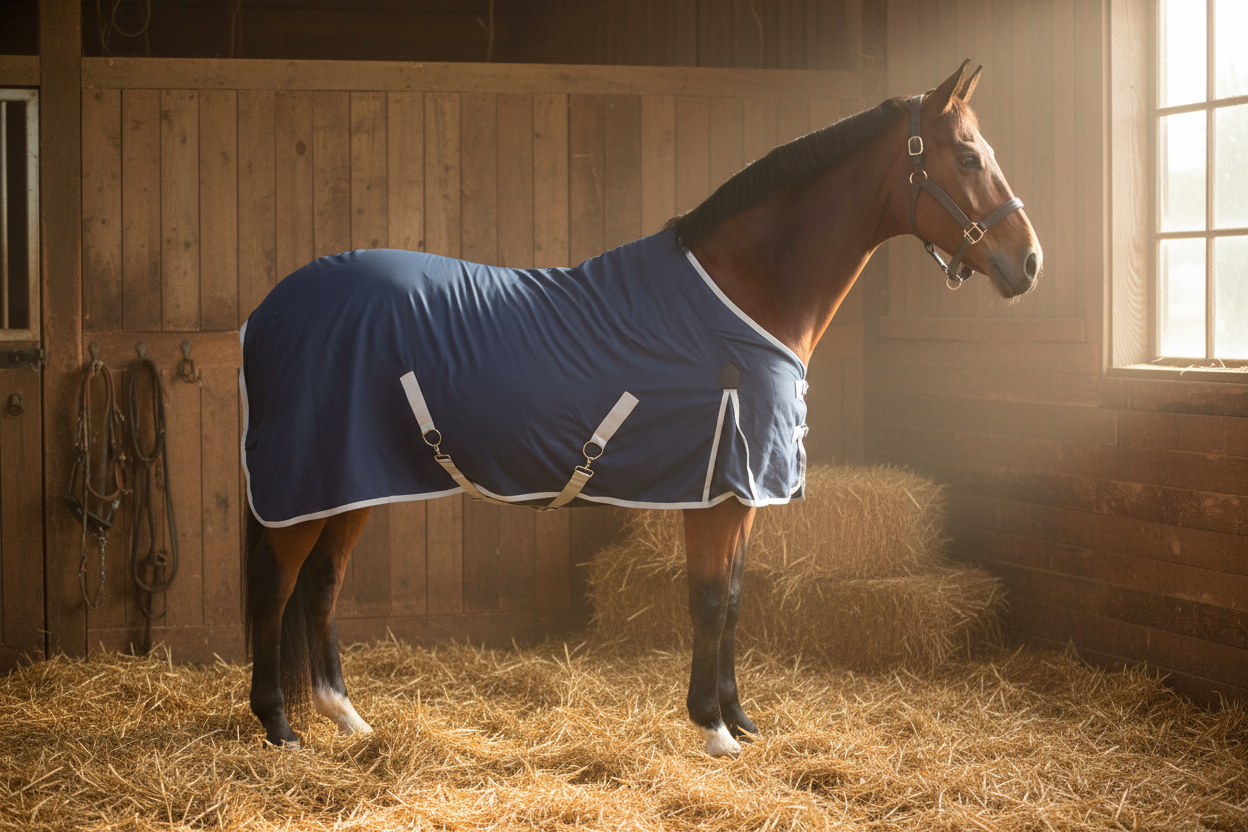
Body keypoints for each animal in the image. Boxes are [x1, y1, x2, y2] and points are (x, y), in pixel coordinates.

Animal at [241, 60, 1041, 756]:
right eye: (968, 157)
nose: (1029, 263)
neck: (743, 292)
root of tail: (271, 308)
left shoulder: (737, 493)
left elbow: (737, 599)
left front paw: (740, 719)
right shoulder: (715, 488)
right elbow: (710, 601)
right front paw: (712, 729)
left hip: (352, 483)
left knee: (322, 585)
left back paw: (346, 718)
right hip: (304, 484)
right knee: (276, 588)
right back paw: (278, 726)